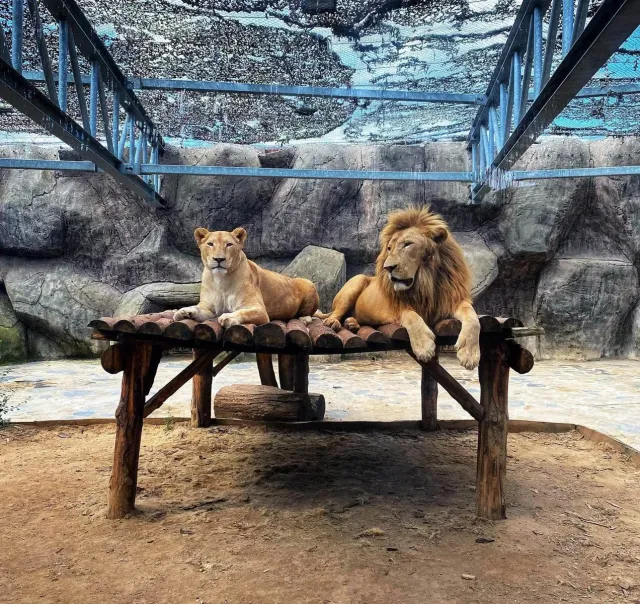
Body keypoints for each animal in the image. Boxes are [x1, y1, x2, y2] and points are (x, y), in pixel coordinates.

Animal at [174, 227, 319, 328]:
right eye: (210, 244)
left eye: (229, 244)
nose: (219, 259)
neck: (221, 281)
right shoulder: (209, 308)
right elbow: (198, 308)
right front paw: (184, 311)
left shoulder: (260, 310)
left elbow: (244, 312)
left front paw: (228, 317)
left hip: (308, 283)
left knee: (310, 313)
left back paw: (304, 319)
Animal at [319, 206, 481, 370]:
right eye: (389, 248)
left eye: (408, 244)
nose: (388, 268)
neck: (426, 281)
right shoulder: (399, 307)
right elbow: (412, 317)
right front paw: (424, 347)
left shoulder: (453, 299)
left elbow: (473, 319)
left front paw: (469, 354)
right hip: (356, 281)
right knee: (337, 312)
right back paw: (333, 322)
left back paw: (351, 323)